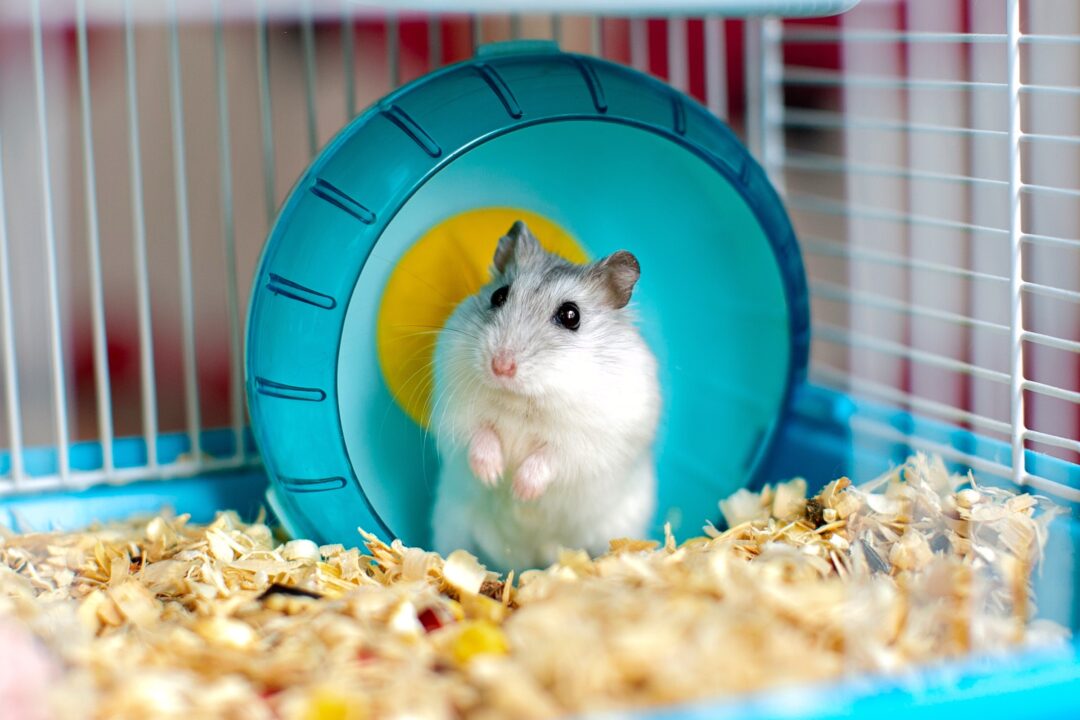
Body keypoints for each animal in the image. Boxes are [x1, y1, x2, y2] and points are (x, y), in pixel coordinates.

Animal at [430, 220, 661, 571]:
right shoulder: (457, 411)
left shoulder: (588, 443)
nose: (500, 366)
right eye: (498, 295)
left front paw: (519, 491)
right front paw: (493, 475)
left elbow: (551, 457)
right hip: (450, 523)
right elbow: (480, 434)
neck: (523, 400)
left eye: (571, 315)